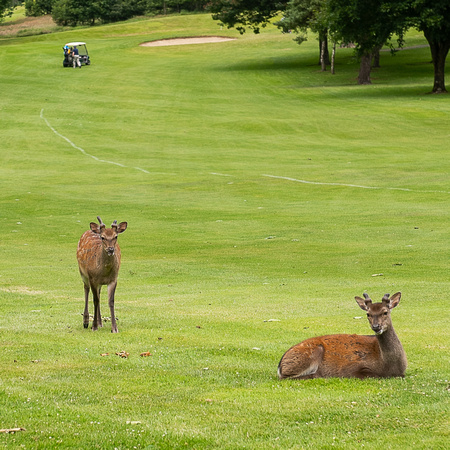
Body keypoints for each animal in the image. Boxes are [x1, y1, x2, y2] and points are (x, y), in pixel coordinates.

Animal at [278, 292, 408, 380]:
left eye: (385, 312)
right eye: (368, 314)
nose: (376, 326)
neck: (388, 365)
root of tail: (280, 365)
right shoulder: (352, 368)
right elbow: (372, 375)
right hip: (312, 352)